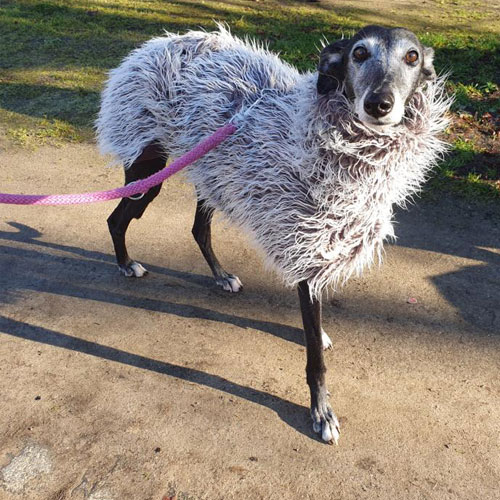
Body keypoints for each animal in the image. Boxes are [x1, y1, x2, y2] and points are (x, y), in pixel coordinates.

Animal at [96, 25, 450, 444]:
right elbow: (315, 360)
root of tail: (155, 46)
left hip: (213, 173)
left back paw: (221, 276)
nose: (379, 104)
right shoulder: (307, 243)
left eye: (412, 57)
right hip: (148, 167)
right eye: (359, 53)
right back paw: (126, 264)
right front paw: (321, 412)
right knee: (116, 220)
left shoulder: (320, 245)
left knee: (198, 229)